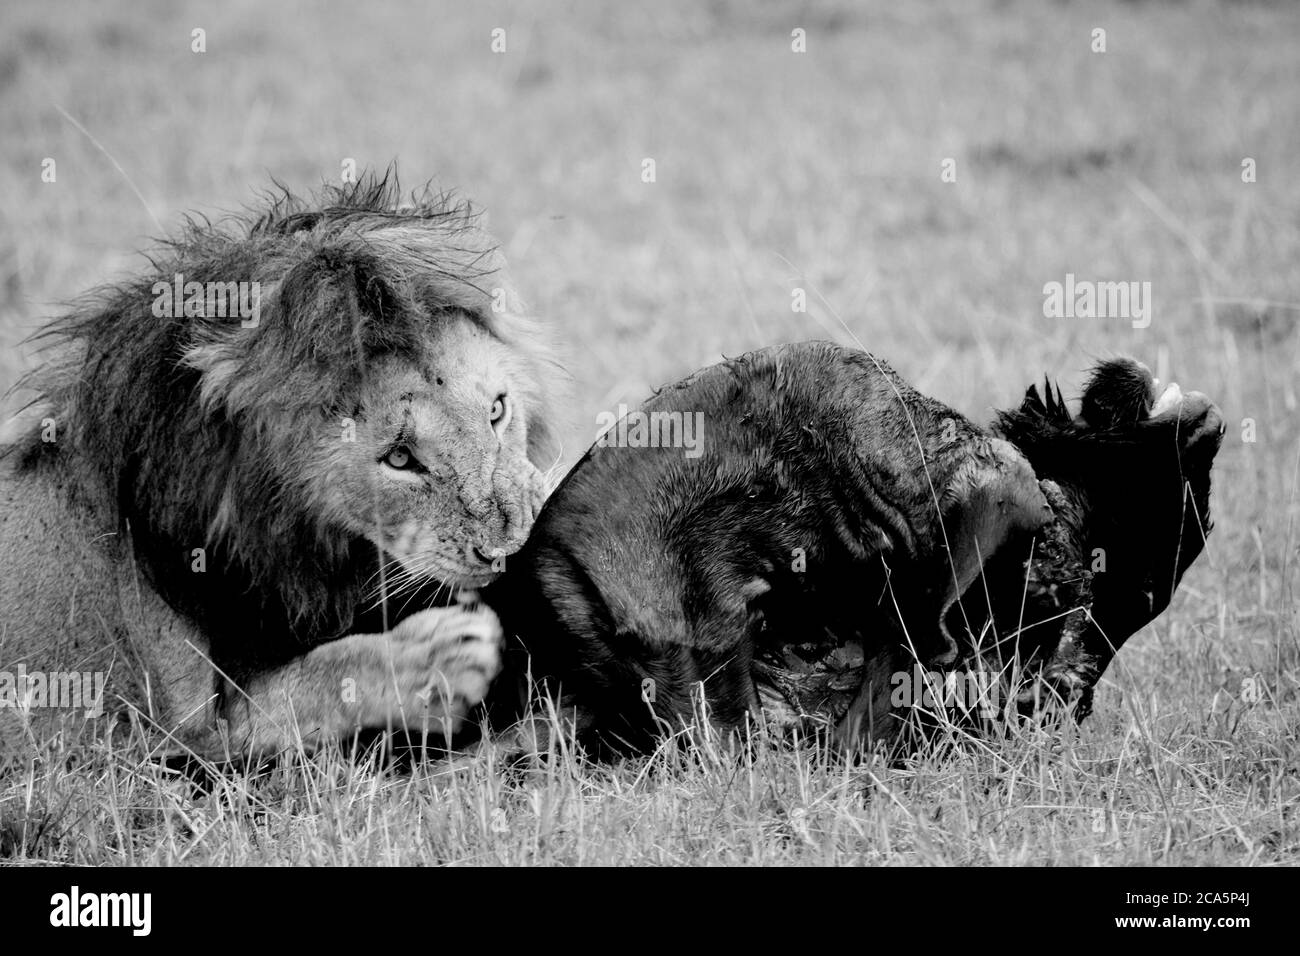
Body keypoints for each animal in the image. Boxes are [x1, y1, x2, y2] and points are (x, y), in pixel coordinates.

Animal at [2, 174, 566, 764]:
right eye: (399, 458)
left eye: (497, 410)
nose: (510, 547)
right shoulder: (191, 735)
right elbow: (316, 681)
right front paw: (436, 658)